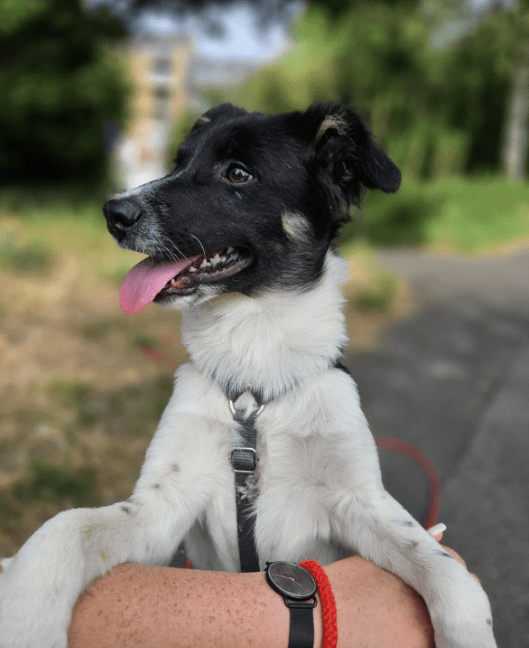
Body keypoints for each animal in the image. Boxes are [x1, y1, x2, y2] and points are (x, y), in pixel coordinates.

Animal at [0, 104, 496, 644]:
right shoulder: (162, 507)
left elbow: (444, 565)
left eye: (238, 173)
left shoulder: (360, 500)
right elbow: (66, 527)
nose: (114, 213)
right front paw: (25, 615)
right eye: (179, 161)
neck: (254, 379)